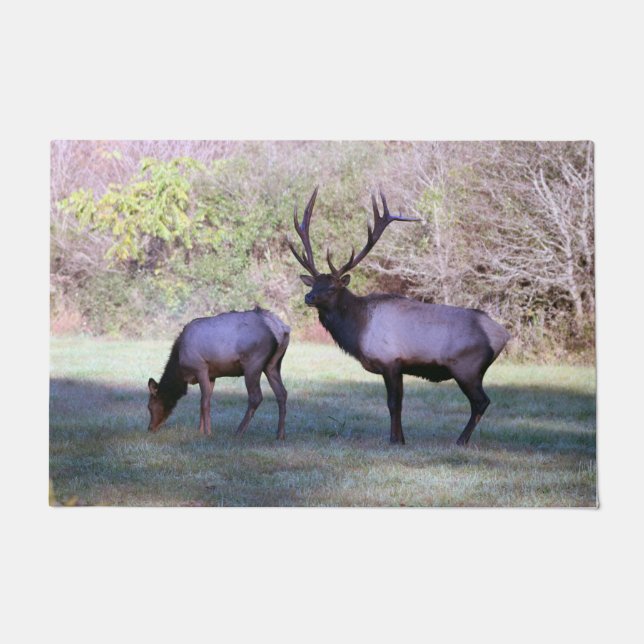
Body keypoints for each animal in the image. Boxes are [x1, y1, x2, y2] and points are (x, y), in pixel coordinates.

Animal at [147, 307, 290, 438]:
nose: (150, 428)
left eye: (149, 406)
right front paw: (201, 430)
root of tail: (281, 329)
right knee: (282, 393)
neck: (180, 370)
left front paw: (207, 432)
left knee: (256, 397)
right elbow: (204, 399)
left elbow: (204, 401)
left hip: (253, 363)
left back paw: (239, 432)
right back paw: (280, 435)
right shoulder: (212, 375)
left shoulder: (200, 367)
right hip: (272, 365)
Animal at [289, 187, 510, 446]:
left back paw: (461, 440)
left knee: (481, 402)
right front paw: (402, 439)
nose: (309, 297)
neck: (357, 330)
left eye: (332, 288)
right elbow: (401, 403)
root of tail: (503, 334)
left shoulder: (390, 361)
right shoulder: (401, 366)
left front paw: (394, 440)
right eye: (314, 284)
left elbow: (393, 403)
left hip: (467, 367)